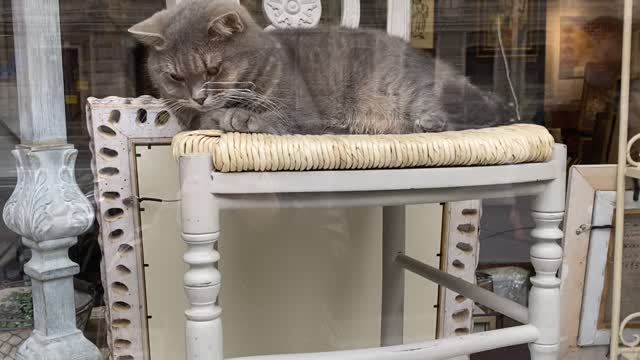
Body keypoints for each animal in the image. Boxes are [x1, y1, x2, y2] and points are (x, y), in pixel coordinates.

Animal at [130, 0, 520, 135]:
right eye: (175, 77)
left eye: (213, 70)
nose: (197, 98)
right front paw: (215, 116)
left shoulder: (300, 111)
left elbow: (273, 116)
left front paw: (239, 117)